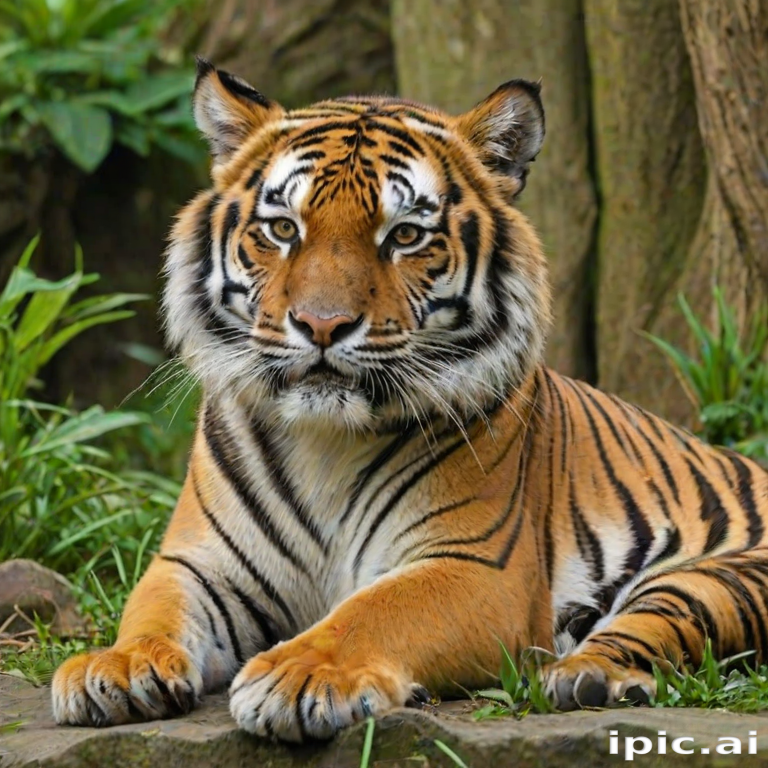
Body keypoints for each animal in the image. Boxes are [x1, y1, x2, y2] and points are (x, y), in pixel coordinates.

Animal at [52, 57, 768, 742]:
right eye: (282, 229)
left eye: (403, 236)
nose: (321, 325)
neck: (324, 443)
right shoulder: (200, 563)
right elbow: (152, 608)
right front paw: (114, 667)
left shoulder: (474, 565)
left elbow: (373, 612)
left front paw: (299, 674)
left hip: (712, 579)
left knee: (653, 627)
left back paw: (586, 677)